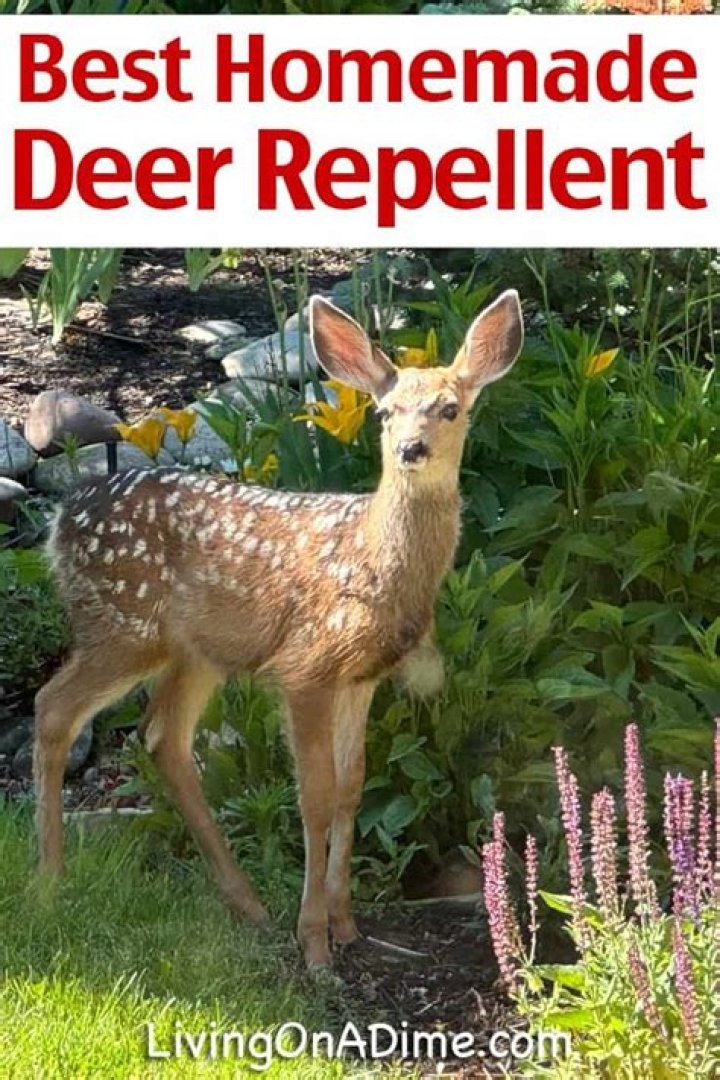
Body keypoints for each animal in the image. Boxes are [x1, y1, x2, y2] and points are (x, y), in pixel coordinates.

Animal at [34, 289, 523, 968]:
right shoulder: (306, 666)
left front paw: (346, 925)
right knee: (53, 708)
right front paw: (315, 944)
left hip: (194, 651)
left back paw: (246, 902)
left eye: (450, 409)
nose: (410, 449)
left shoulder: (362, 677)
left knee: (161, 737)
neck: (372, 560)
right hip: (121, 624)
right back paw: (51, 881)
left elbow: (351, 788)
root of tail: (59, 520)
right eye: (385, 413)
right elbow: (314, 797)